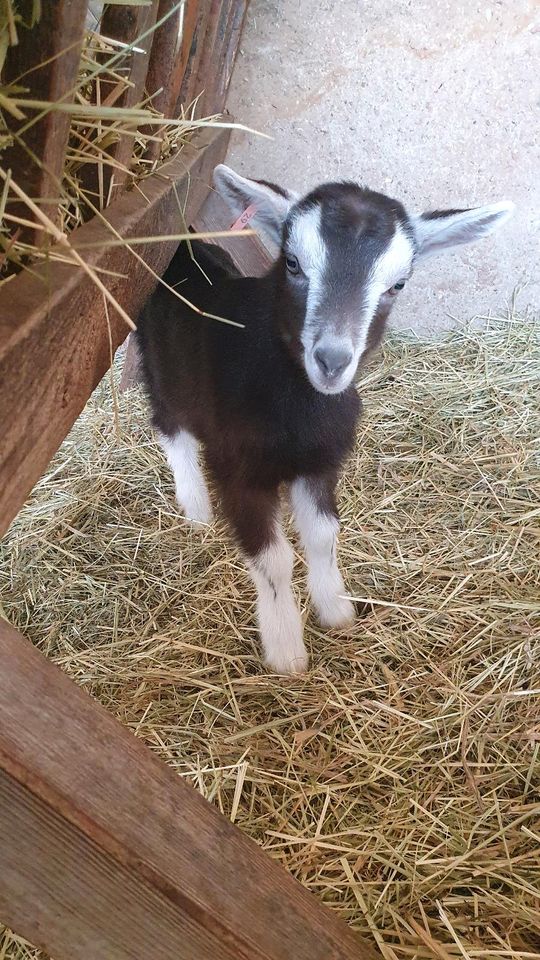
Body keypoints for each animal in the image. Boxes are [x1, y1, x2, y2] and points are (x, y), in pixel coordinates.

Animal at [136, 165, 516, 672]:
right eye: (293, 263)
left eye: (397, 285)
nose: (332, 360)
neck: (298, 409)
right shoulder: (239, 471)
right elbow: (274, 560)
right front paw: (285, 652)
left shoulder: (320, 463)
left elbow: (322, 536)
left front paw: (336, 611)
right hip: (161, 366)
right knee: (170, 426)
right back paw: (196, 510)